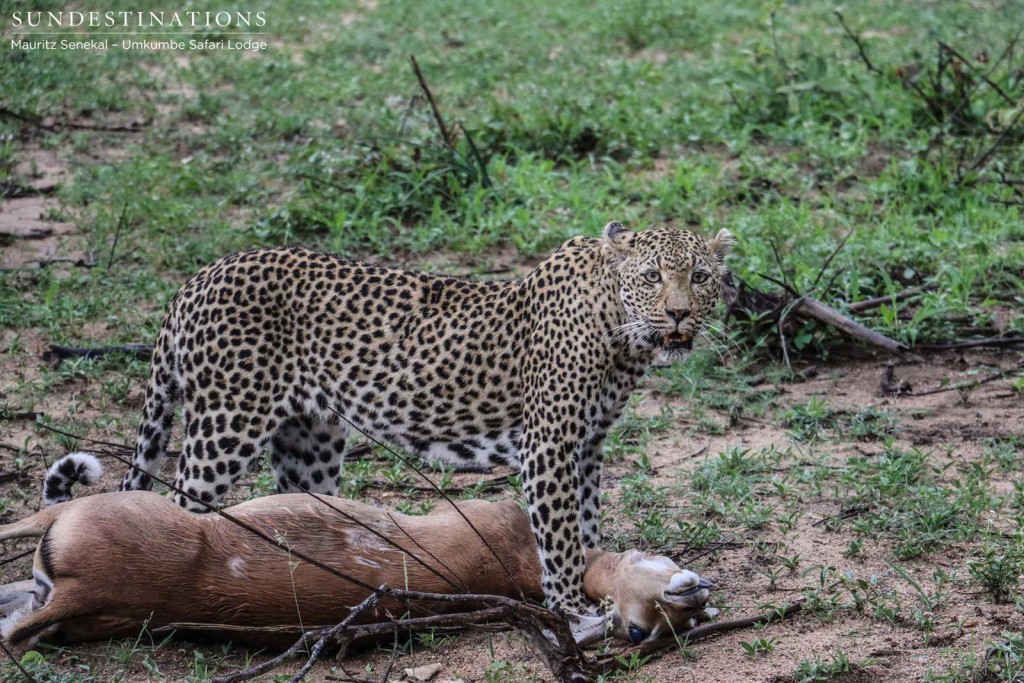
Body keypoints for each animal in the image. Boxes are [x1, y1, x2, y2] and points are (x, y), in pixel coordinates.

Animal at [99, 222, 733, 618]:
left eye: (700, 276)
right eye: (651, 277)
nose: (679, 314)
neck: (620, 332)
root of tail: (197, 278)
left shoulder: (588, 445)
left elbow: (586, 520)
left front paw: (600, 574)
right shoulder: (550, 445)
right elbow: (558, 536)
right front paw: (572, 607)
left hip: (309, 441)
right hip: (225, 423)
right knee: (178, 506)